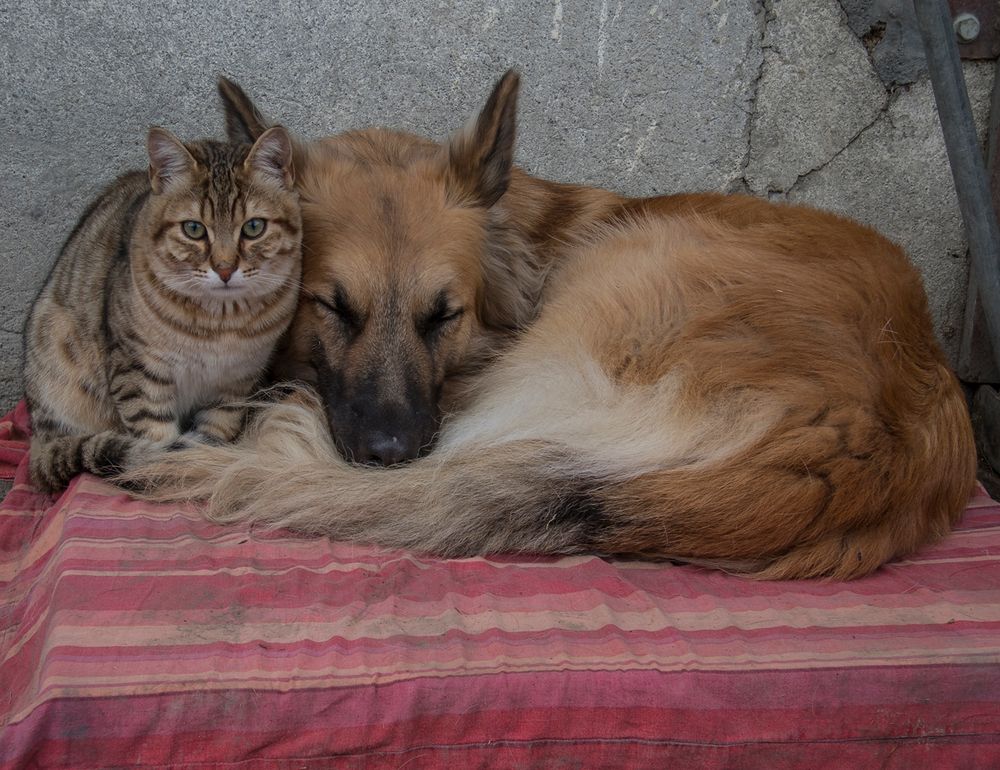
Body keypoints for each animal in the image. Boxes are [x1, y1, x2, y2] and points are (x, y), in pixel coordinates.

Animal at [23, 123, 300, 488]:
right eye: (193, 228)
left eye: (254, 227)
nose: (225, 268)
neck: (222, 322)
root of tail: (39, 443)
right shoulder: (139, 370)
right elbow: (154, 434)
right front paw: (167, 471)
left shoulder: (237, 379)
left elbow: (217, 426)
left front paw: (206, 464)